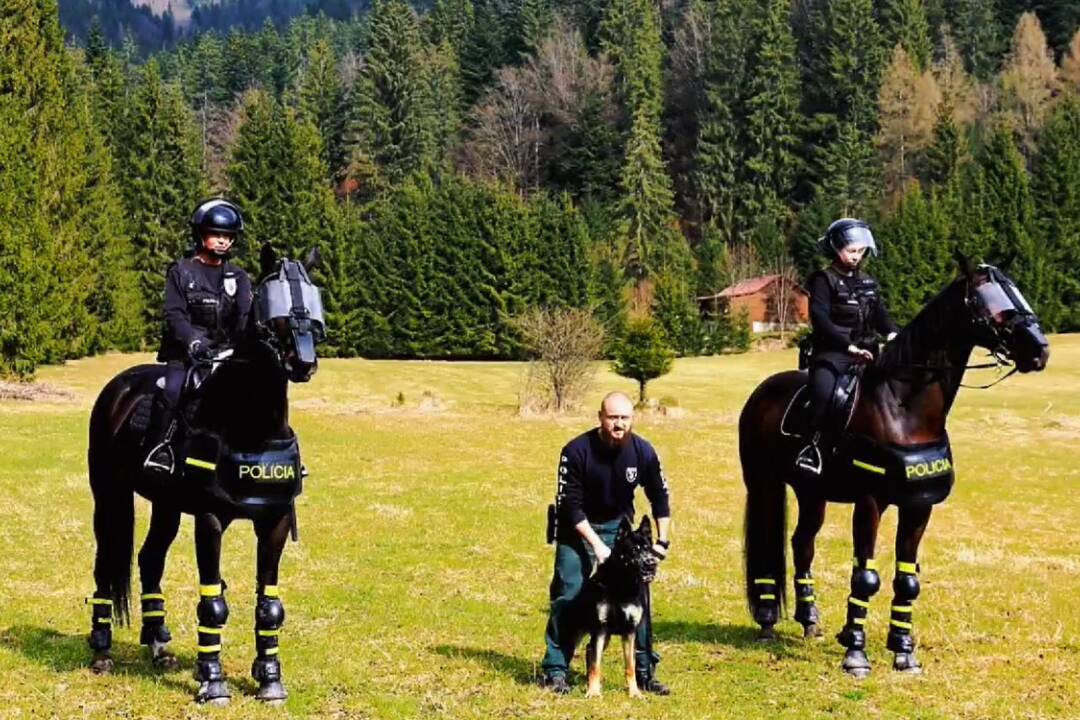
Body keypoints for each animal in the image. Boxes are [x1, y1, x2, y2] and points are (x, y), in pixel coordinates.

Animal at [85, 246, 321, 703]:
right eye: (272, 306)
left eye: (312, 301)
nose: (303, 362)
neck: (252, 424)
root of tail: (119, 388)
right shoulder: (210, 521)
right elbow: (213, 603)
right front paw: (212, 680)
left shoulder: (275, 521)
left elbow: (269, 605)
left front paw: (270, 678)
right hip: (109, 496)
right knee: (106, 561)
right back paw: (101, 649)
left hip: (166, 506)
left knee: (149, 558)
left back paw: (158, 643)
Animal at [570, 518, 652, 699]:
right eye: (634, 550)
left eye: (648, 548)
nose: (651, 564)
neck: (622, 584)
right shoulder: (600, 628)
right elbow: (596, 665)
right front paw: (594, 692)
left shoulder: (629, 631)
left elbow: (630, 666)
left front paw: (634, 692)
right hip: (581, 633)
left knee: (589, 650)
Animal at [743, 257, 1045, 677]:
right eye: (989, 301)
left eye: (1015, 291)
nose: (1040, 349)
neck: (903, 406)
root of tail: (761, 392)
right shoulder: (870, 503)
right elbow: (865, 576)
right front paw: (855, 653)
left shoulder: (919, 506)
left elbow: (908, 580)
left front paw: (903, 651)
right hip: (765, 485)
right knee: (768, 544)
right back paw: (768, 620)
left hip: (812, 493)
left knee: (802, 544)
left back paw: (810, 620)